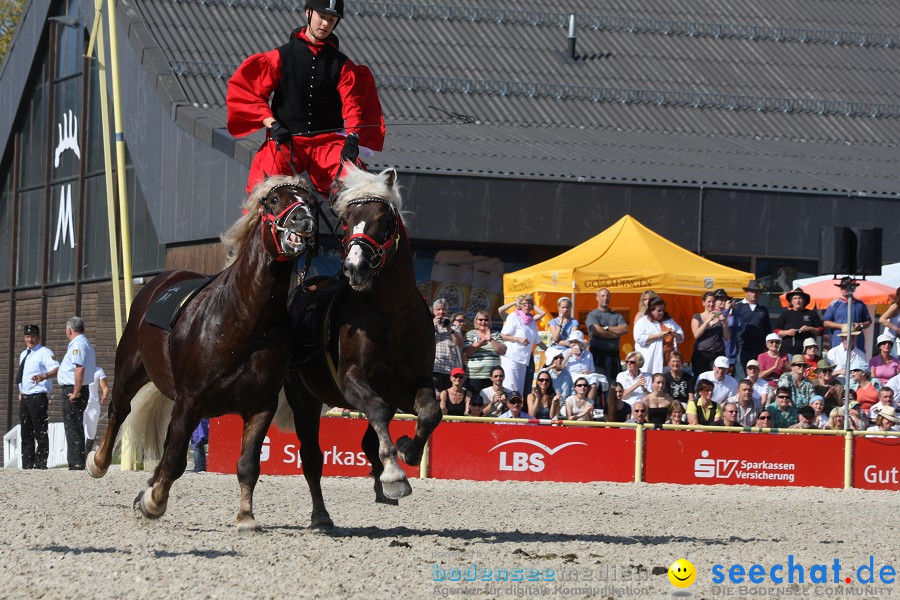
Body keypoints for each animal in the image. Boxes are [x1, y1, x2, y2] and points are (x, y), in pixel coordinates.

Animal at [88, 176, 318, 532]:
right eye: (274, 199)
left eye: (313, 202)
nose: (303, 220)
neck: (244, 320)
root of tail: (164, 280)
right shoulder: (191, 400)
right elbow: (175, 459)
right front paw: (154, 503)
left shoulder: (260, 406)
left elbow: (248, 463)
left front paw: (246, 517)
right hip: (131, 370)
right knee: (119, 410)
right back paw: (99, 463)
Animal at [278, 164, 440, 528]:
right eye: (347, 220)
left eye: (384, 219)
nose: (355, 267)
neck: (393, 317)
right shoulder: (353, 381)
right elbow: (377, 412)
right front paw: (394, 476)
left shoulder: (414, 384)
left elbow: (430, 413)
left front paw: (408, 449)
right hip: (303, 398)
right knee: (311, 456)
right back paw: (321, 515)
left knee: (369, 439)